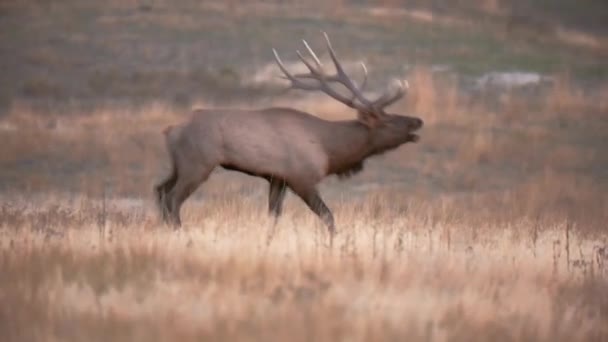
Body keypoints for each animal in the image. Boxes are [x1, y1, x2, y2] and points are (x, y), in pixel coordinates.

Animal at [154, 31, 422, 240]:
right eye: (387, 119)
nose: (418, 121)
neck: (331, 150)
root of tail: (170, 130)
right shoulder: (301, 178)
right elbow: (328, 217)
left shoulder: (277, 178)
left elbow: (274, 216)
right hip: (198, 163)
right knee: (173, 198)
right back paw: (179, 233)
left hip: (178, 165)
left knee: (160, 189)